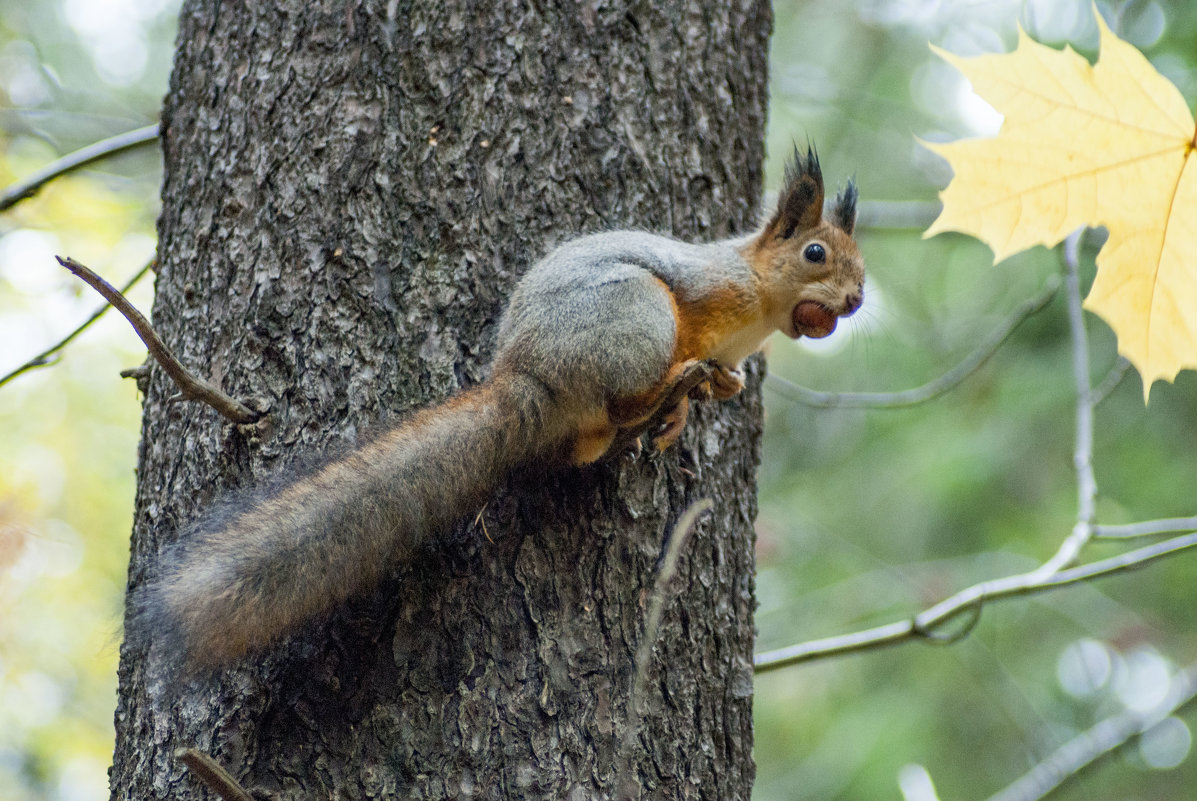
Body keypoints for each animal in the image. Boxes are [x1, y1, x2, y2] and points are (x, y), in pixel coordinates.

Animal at [140, 145, 866, 670]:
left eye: (859, 264)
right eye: (815, 253)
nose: (857, 299)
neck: (757, 307)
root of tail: (529, 382)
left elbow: (729, 378)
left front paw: (722, 389)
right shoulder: (707, 286)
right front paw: (701, 382)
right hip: (634, 311)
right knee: (624, 392)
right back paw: (663, 388)